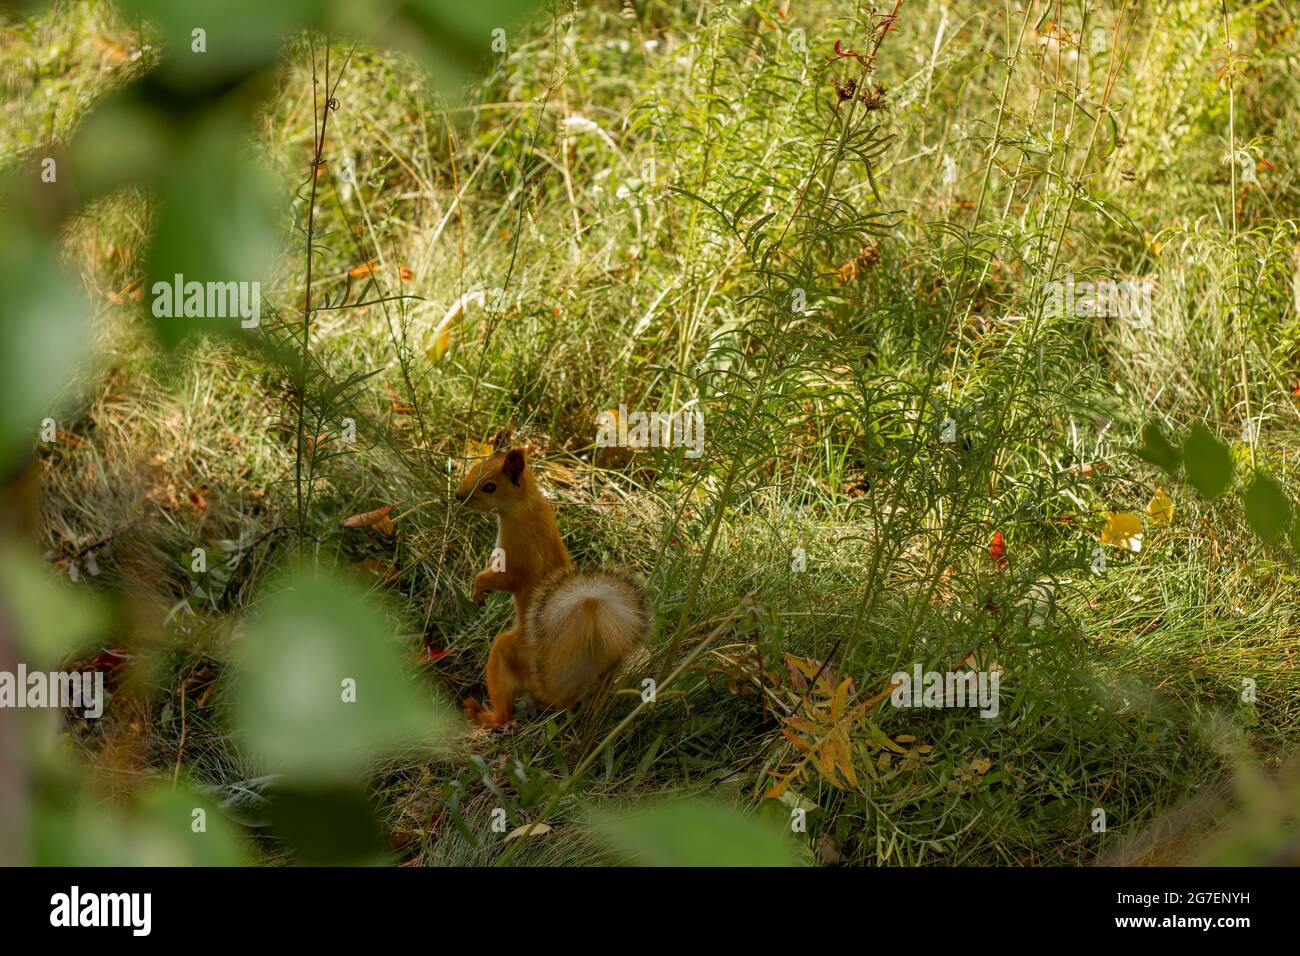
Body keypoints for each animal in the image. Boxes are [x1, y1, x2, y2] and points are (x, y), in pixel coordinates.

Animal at [455, 429, 652, 729]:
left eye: (489, 486)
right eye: (475, 467)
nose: (458, 496)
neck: (525, 506)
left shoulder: (518, 553)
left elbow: (505, 578)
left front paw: (479, 587)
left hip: (505, 654)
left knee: (504, 713)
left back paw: (483, 714)